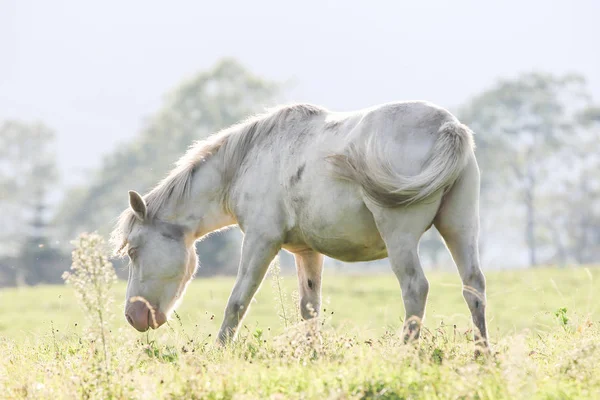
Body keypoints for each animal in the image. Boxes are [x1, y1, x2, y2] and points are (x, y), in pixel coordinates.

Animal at [111, 101, 488, 350]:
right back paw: (481, 354)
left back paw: (406, 353)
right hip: (460, 229)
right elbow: (309, 310)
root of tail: (448, 127)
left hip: (400, 238)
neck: (246, 161)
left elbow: (237, 301)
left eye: (133, 251)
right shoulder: (306, 252)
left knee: (415, 288)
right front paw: (312, 356)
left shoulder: (261, 241)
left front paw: (218, 352)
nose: (131, 316)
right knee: (474, 286)